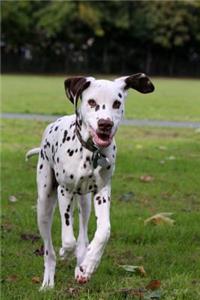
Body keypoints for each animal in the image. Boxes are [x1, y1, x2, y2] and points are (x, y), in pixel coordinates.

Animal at [26, 74, 155, 290]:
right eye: (92, 102)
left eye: (117, 103)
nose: (105, 124)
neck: (90, 152)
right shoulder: (65, 191)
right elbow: (68, 238)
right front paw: (66, 252)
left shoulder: (102, 192)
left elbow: (103, 231)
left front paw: (90, 264)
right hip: (44, 204)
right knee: (49, 250)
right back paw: (48, 280)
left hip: (85, 204)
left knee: (83, 236)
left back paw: (82, 265)